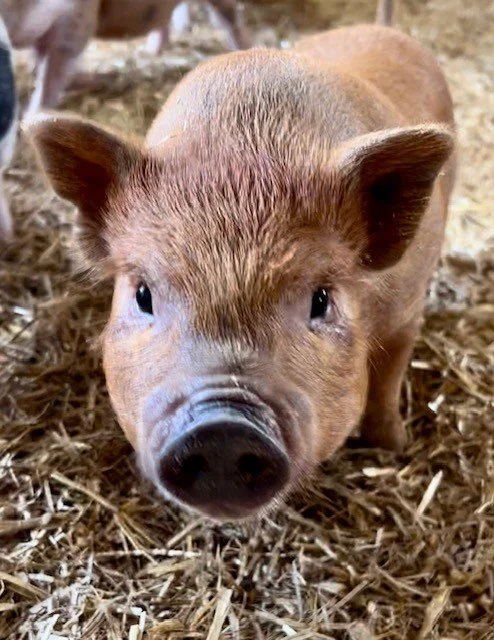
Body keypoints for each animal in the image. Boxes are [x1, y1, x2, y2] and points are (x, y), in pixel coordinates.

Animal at [0, 0, 250, 117]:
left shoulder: (76, 22)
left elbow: (51, 75)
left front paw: (31, 115)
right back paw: (153, 51)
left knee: (229, 18)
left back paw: (245, 49)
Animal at [27, 0, 456, 520]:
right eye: (143, 295)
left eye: (321, 300)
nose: (222, 429)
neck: (247, 151)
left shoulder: (406, 313)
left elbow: (388, 381)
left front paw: (393, 447)